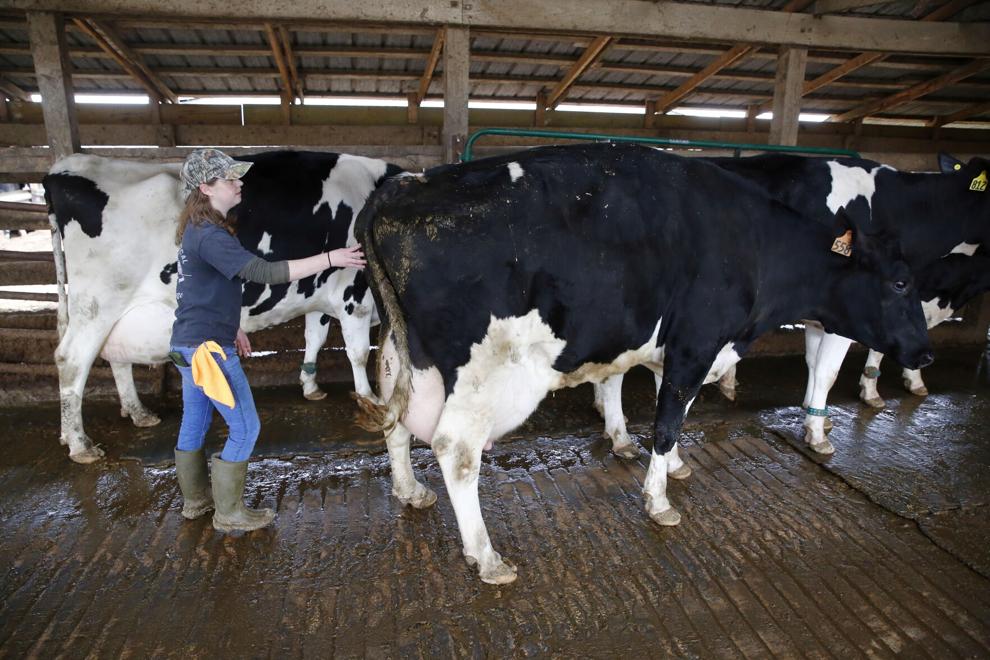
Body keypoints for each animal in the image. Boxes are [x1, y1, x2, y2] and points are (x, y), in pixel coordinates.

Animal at [45, 151, 404, 462]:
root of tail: (64, 168)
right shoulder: (354, 297)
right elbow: (358, 352)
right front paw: (369, 397)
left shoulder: (317, 293)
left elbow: (314, 339)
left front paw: (310, 386)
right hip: (97, 303)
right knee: (71, 360)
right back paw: (80, 444)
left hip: (117, 312)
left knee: (115, 358)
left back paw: (138, 413)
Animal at [356, 144, 936, 584]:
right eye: (900, 282)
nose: (926, 351)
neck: (751, 241)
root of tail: (404, 184)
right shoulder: (697, 342)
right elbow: (666, 420)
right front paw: (659, 500)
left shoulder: (676, 348)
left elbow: (666, 406)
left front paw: (673, 465)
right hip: (484, 371)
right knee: (456, 449)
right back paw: (486, 556)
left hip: (402, 356)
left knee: (396, 425)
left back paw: (410, 492)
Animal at [596, 152, 990, 456]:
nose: (926, 357)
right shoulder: (844, 313)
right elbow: (833, 368)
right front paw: (824, 429)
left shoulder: (820, 314)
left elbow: (815, 364)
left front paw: (818, 413)